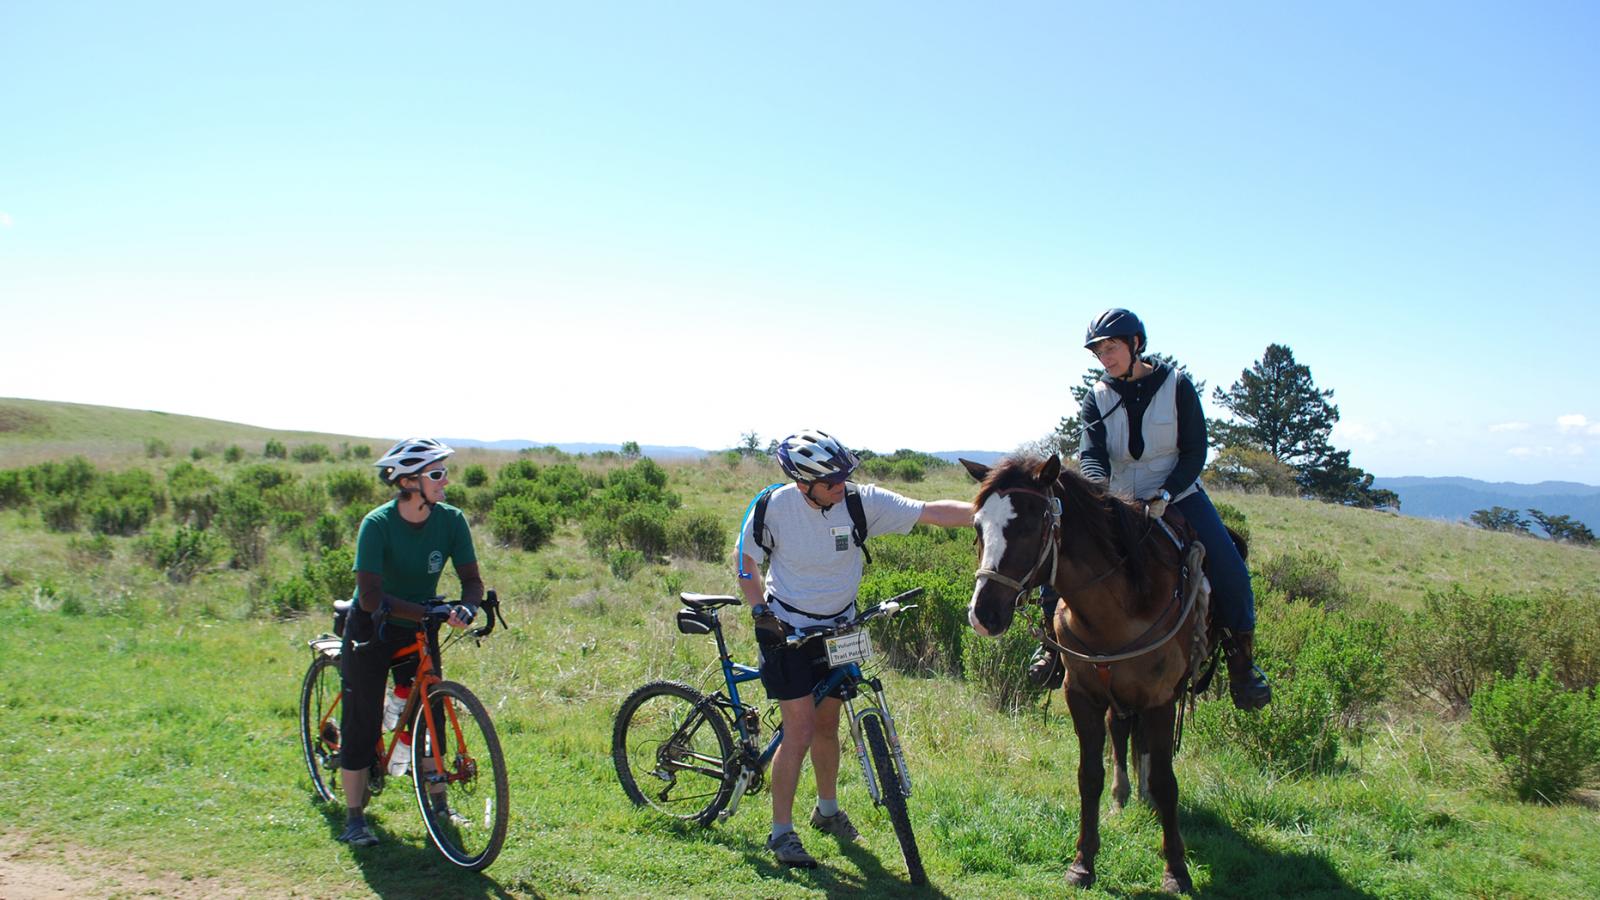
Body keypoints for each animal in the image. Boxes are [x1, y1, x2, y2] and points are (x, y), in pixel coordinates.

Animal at [953, 454, 1203, 890]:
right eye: (978, 526)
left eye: (1030, 526)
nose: (982, 615)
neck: (1118, 607)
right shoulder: (1082, 696)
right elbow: (1089, 776)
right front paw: (1083, 862)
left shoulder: (1160, 699)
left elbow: (1165, 781)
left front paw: (1176, 869)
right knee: (1120, 732)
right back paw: (1123, 796)